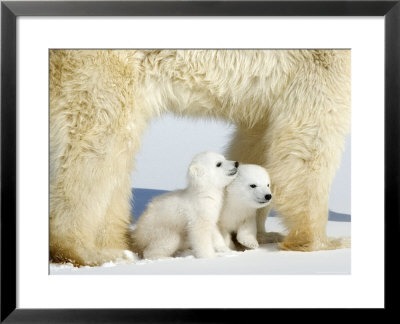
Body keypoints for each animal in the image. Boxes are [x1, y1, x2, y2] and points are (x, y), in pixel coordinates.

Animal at [50, 48, 350, 266]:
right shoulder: (318, 60)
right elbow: (310, 134)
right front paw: (323, 242)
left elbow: (257, 138)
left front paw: (262, 234)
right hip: (102, 66)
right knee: (99, 140)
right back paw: (85, 251)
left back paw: (116, 247)